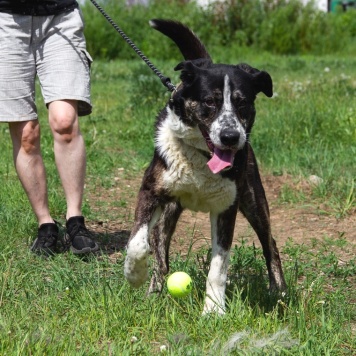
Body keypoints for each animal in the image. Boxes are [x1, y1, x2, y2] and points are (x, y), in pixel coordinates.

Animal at [125, 20, 286, 314]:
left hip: (253, 199)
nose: (230, 137)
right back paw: (153, 292)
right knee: (161, 254)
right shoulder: (151, 191)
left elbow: (219, 266)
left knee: (270, 243)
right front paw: (134, 274)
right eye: (210, 101)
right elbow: (138, 243)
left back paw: (279, 290)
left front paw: (213, 310)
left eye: (242, 102)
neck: (200, 157)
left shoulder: (226, 207)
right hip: (169, 211)